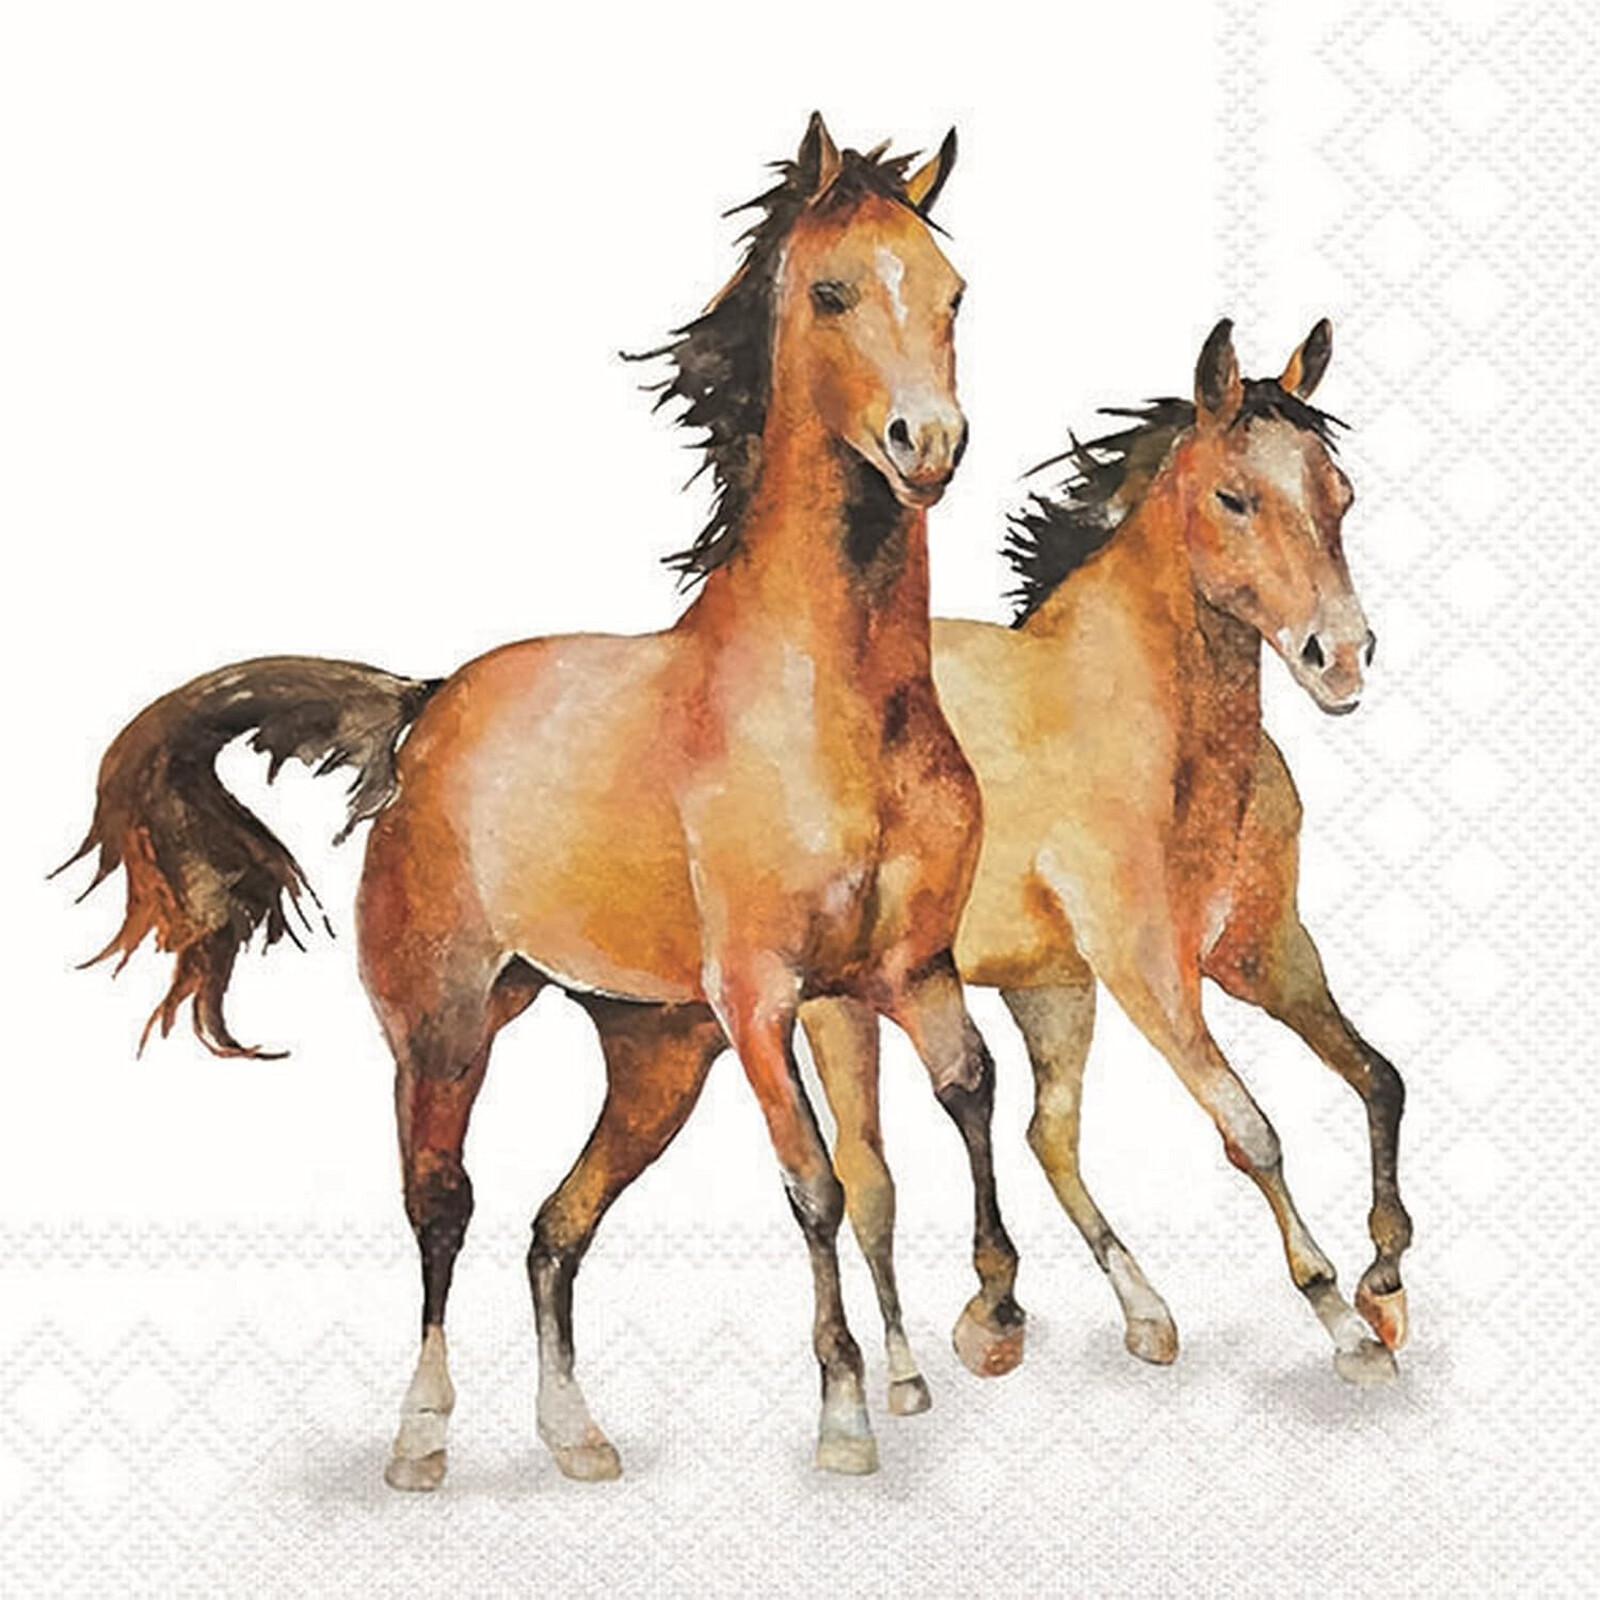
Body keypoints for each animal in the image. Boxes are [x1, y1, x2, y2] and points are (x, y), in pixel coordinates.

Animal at [59, 115, 1024, 1487]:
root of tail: (427, 706)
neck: (836, 702)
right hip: (448, 1027)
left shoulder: (899, 970)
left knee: (554, 1223)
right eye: (834, 293)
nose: (925, 445)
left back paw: (574, 1433)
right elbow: (819, 1184)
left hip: (653, 1054)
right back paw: (420, 1436)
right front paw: (845, 1413)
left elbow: (963, 1097)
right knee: (443, 1205)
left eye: (952, 294)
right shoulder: (759, 995)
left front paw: (984, 1325)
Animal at [799, 317, 1410, 1391]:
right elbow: (1251, 1130)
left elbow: (1379, 1078)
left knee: (1046, 1133)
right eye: (1234, 497)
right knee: (869, 1164)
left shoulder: (1265, 955)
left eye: (1341, 491)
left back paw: (1116, 1314)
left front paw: (1387, 1278)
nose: (1340, 657)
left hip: (1049, 989)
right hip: (853, 1001)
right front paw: (1343, 1322)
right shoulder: (1151, 971)